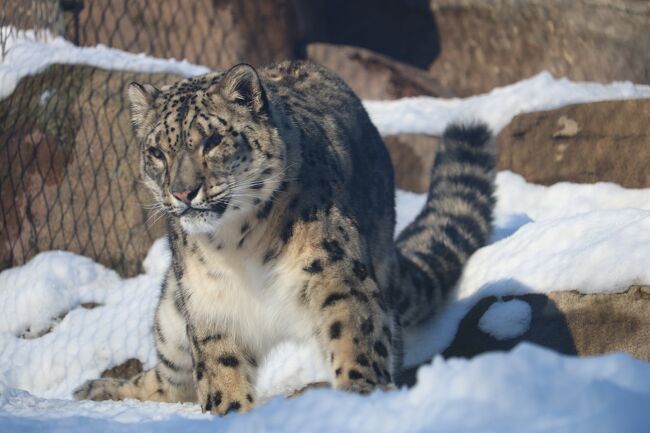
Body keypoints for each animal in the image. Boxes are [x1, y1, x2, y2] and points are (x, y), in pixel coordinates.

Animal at [73, 59, 494, 414]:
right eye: (157, 152)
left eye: (212, 141)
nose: (182, 192)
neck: (236, 245)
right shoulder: (209, 303)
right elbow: (218, 368)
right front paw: (231, 412)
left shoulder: (335, 272)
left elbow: (353, 333)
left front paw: (359, 393)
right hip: (172, 313)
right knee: (171, 379)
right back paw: (97, 389)